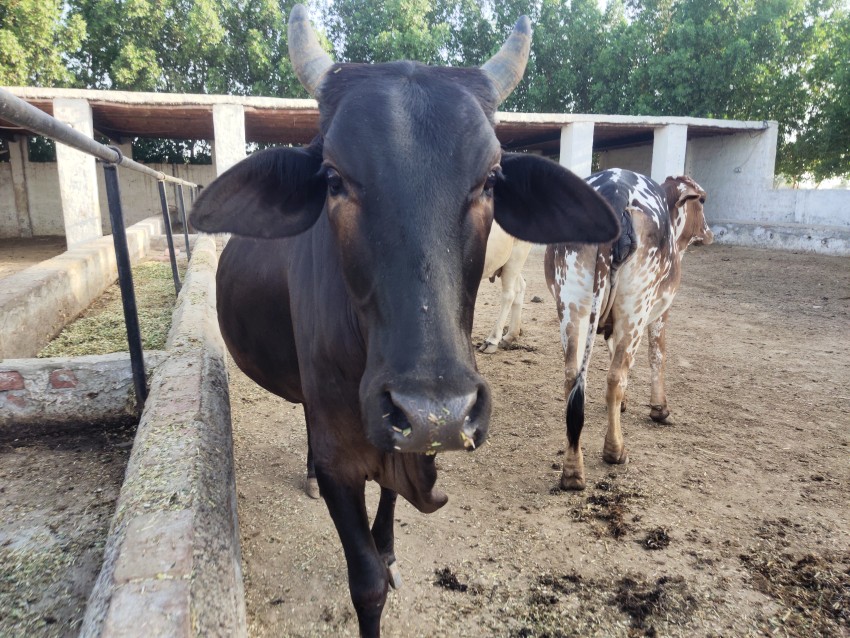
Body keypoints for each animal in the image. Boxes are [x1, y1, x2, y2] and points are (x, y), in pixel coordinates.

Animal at [544, 168, 712, 491]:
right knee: (615, 377)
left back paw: (572, 471)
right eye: (702, 200)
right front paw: (659, 408)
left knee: (573, 377)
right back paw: (615, 450)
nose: (710, 233)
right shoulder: (660, 309)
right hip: (636, 306)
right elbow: (657, 354)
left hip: (571, 306)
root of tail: (616, 193)